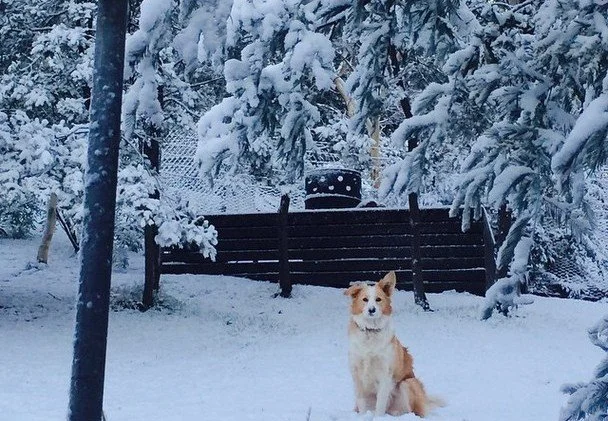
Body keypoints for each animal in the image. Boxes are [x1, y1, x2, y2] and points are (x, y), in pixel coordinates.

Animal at [344, 270, 440, 416]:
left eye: (378, 299)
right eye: (365, 299)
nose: (371, 310)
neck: (370, 331)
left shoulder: (385, 374)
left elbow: (380, 404)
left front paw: (377, 417)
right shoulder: (356, 374)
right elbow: (362, 404)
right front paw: (362, 417)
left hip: (408, 383)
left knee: (411, 411)